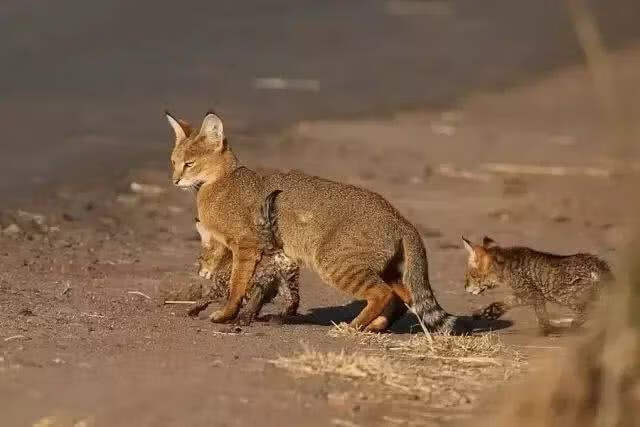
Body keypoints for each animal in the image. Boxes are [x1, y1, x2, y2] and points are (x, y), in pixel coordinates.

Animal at [168, 110, 468, 334]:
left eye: (190, 163)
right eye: (172, 161)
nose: (174, 180)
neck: (220, 183)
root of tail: (399, 217)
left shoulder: (246, 246)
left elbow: (236, 285)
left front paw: (225, 314)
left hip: (338, 263)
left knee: (382, 294)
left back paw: (353, 325)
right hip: (384, 269)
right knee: (403, 298)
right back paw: (374, 325)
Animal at [460, 237, 608, 334]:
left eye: (470, 275)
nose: (465, 288)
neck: (505, 266)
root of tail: (599, 265)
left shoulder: (534, 295)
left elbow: (542, 316)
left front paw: (547, 330)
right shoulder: (525, 295)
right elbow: (503, 303)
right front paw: (487, 314)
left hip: (565, 296)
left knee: (588, 311)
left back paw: (573, 327)